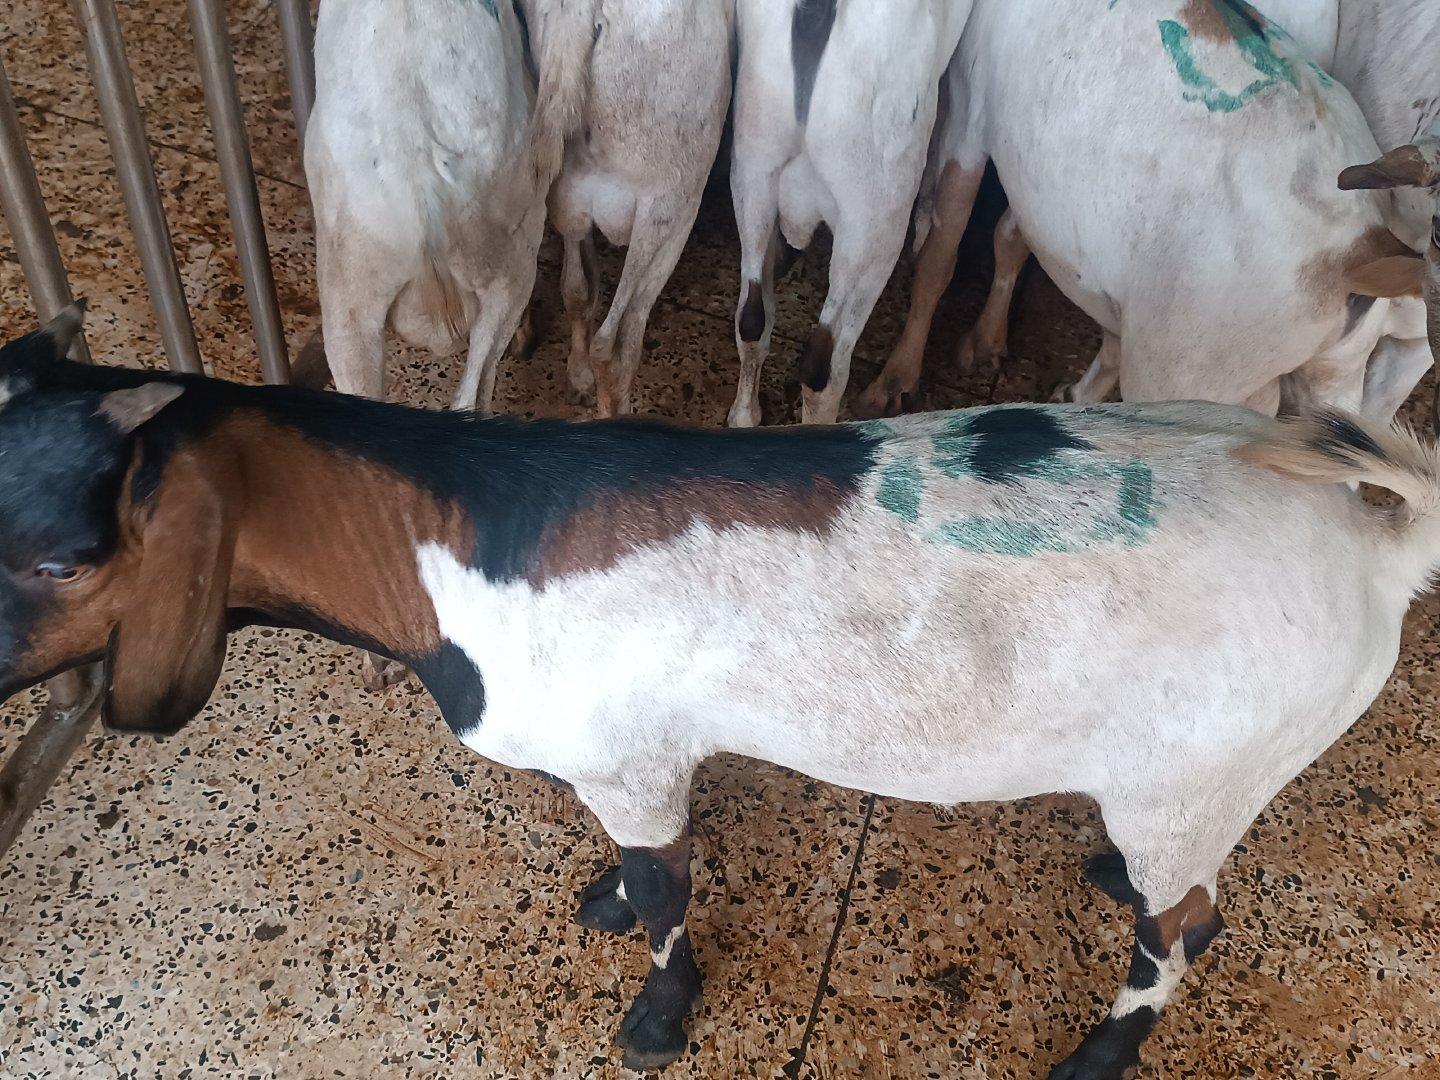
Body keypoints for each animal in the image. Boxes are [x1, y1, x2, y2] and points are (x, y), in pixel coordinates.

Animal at [3, 306, 1437, 1076]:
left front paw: (656, 1016)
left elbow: (664, 893)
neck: (455, 534)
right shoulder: (631, 765)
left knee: (1189, 929)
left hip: (1197, 769)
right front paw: (594, 900)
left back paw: (1099, 1050)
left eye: (65, 557)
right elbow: (636, 871)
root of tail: (1377, 536)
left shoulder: (629, 761)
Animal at [523, 0, 734, 418]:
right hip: (670, 206)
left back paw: (580, 378)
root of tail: (580, 9)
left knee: (575, 290)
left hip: (568, 194)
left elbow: (580, 288)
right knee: (616, 342)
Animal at [854, 0, 1428, 423]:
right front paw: (987, 342)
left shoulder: (971, 103)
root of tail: (1363, 250)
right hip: (1335, 374)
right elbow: (1011, 236)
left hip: (1192, 368)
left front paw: (894, 382)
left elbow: (942, 249)